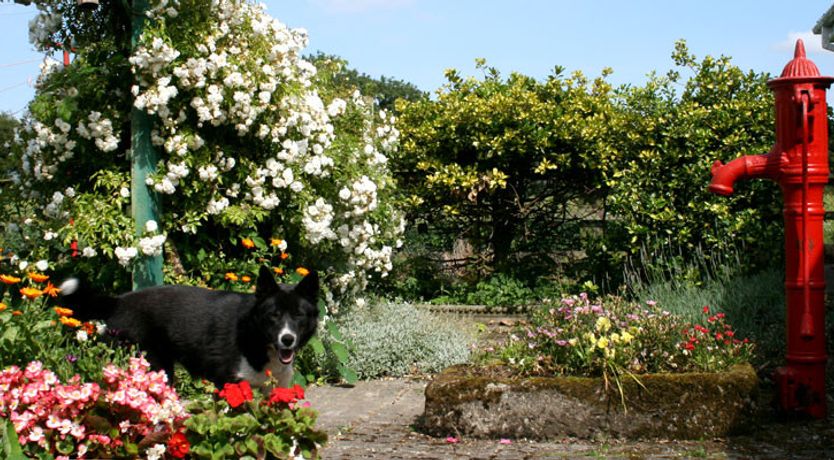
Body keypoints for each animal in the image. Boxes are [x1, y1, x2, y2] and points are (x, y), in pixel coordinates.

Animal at [58, 266, 318, 388]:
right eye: (274, 315)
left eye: (298, 315)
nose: (287, 339)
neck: (253, 337)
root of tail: (118, 301)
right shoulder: (227, 384)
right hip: (152, 366)